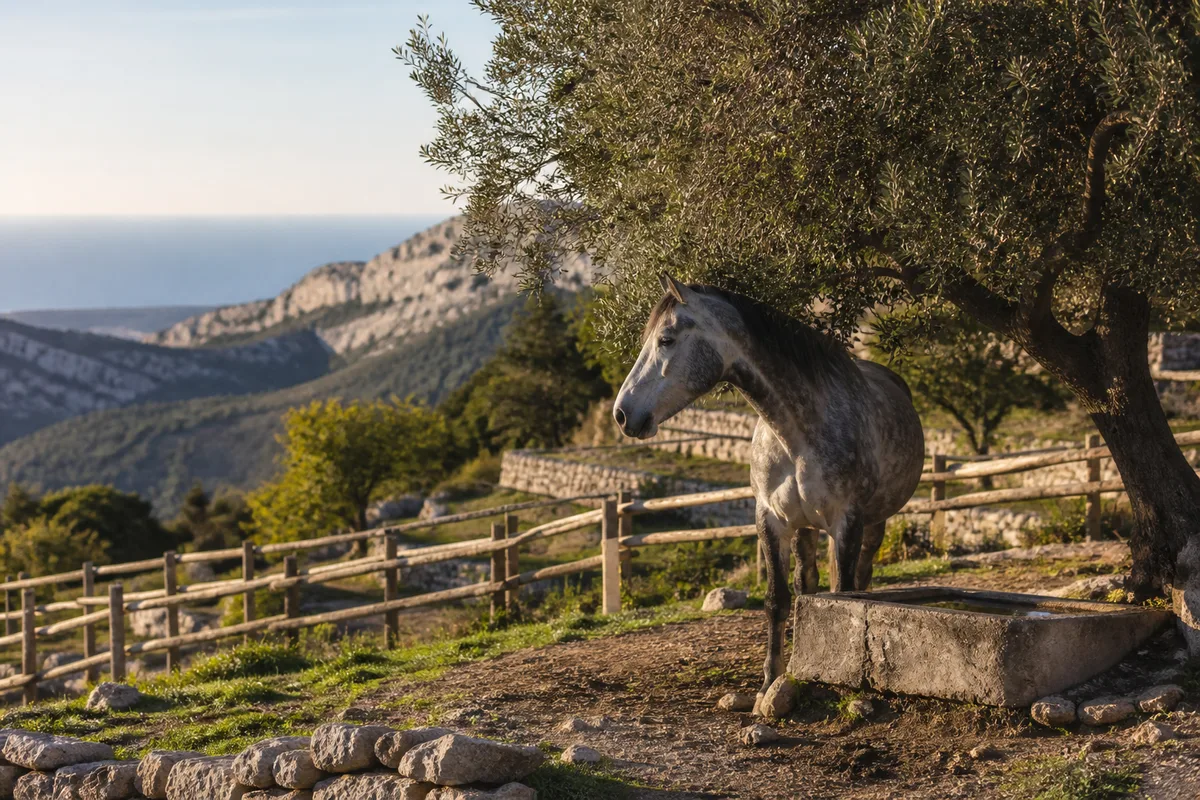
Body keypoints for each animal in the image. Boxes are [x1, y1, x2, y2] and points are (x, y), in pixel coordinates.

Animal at [613, 274, 925, 701]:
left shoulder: (847, 522)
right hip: (806, 528)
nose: (622, 414)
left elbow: (845, 597)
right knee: (807, 587)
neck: (796, 435)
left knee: (860, 580)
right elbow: (778, 600)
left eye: (666, 340)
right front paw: (769, 682)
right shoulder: (771, 520)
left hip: (873, 523)